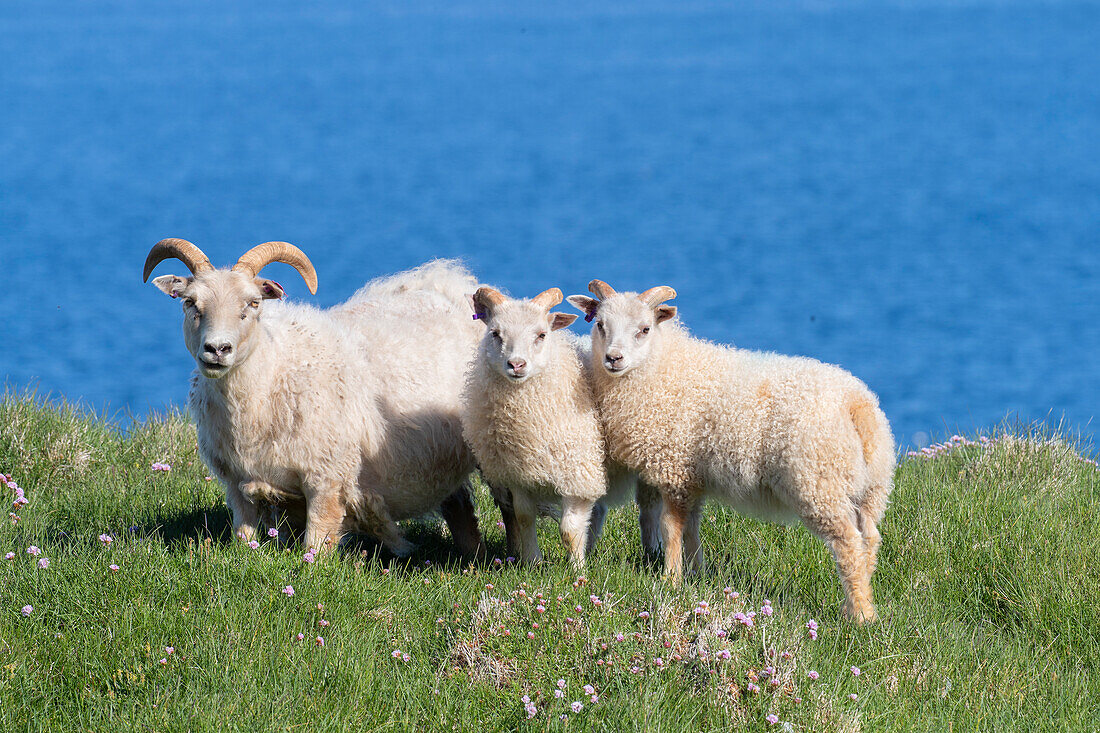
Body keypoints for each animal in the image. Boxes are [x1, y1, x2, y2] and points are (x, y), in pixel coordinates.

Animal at [145, 238, 486, 554]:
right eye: (190, 302)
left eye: (253, 303)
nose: (217, 349)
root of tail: (448, 280)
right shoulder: (237, 483)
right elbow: (242, 538)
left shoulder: (326, 479)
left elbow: (316, 547)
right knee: (460, 508)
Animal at [459, 286, 655, 563]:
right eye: (495, 333)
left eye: (542, 334)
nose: (516, 364)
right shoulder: (518, 474)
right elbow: (524, 517)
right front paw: (533, 562)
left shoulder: (577, 474)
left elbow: (569, 530)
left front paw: (577, 568)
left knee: (650, 506)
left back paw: (653, 550)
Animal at [567, 277, 893, 620]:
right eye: (600, 325)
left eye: (644, 329)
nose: (613, 358)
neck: (663, 366)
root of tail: (858, 405)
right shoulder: (691, 474)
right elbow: (691, 526)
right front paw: (695, 571)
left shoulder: (674, 467)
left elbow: (671, 527)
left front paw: (671, 579)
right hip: (871, 489)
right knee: (870, 539)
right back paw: (863, 598)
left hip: (821, 484)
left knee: (849, 544)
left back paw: (861, 616)